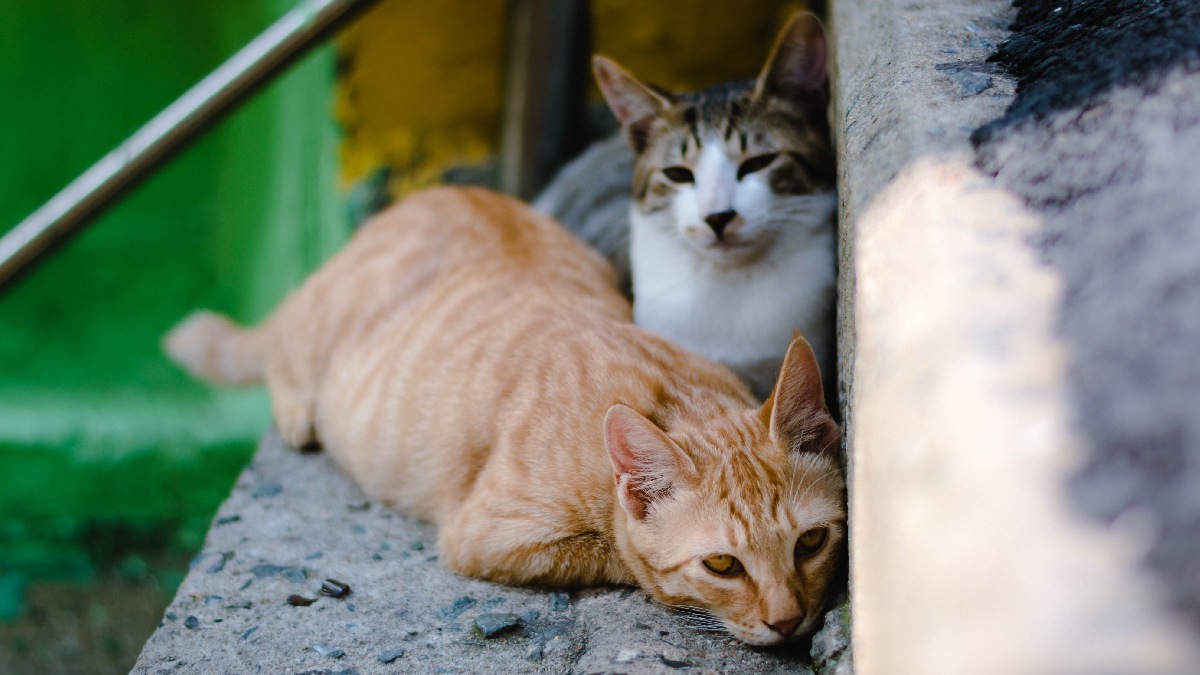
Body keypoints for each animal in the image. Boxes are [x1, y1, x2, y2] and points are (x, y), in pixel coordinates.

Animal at [164, 184, 844, 638]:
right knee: (278, 346)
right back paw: (295, 408)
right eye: (722, 564)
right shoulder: (486, 534)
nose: (789, 622)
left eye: (811, 542)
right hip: (312, 332)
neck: (669, 394)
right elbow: (617, 554)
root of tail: (439, 190)